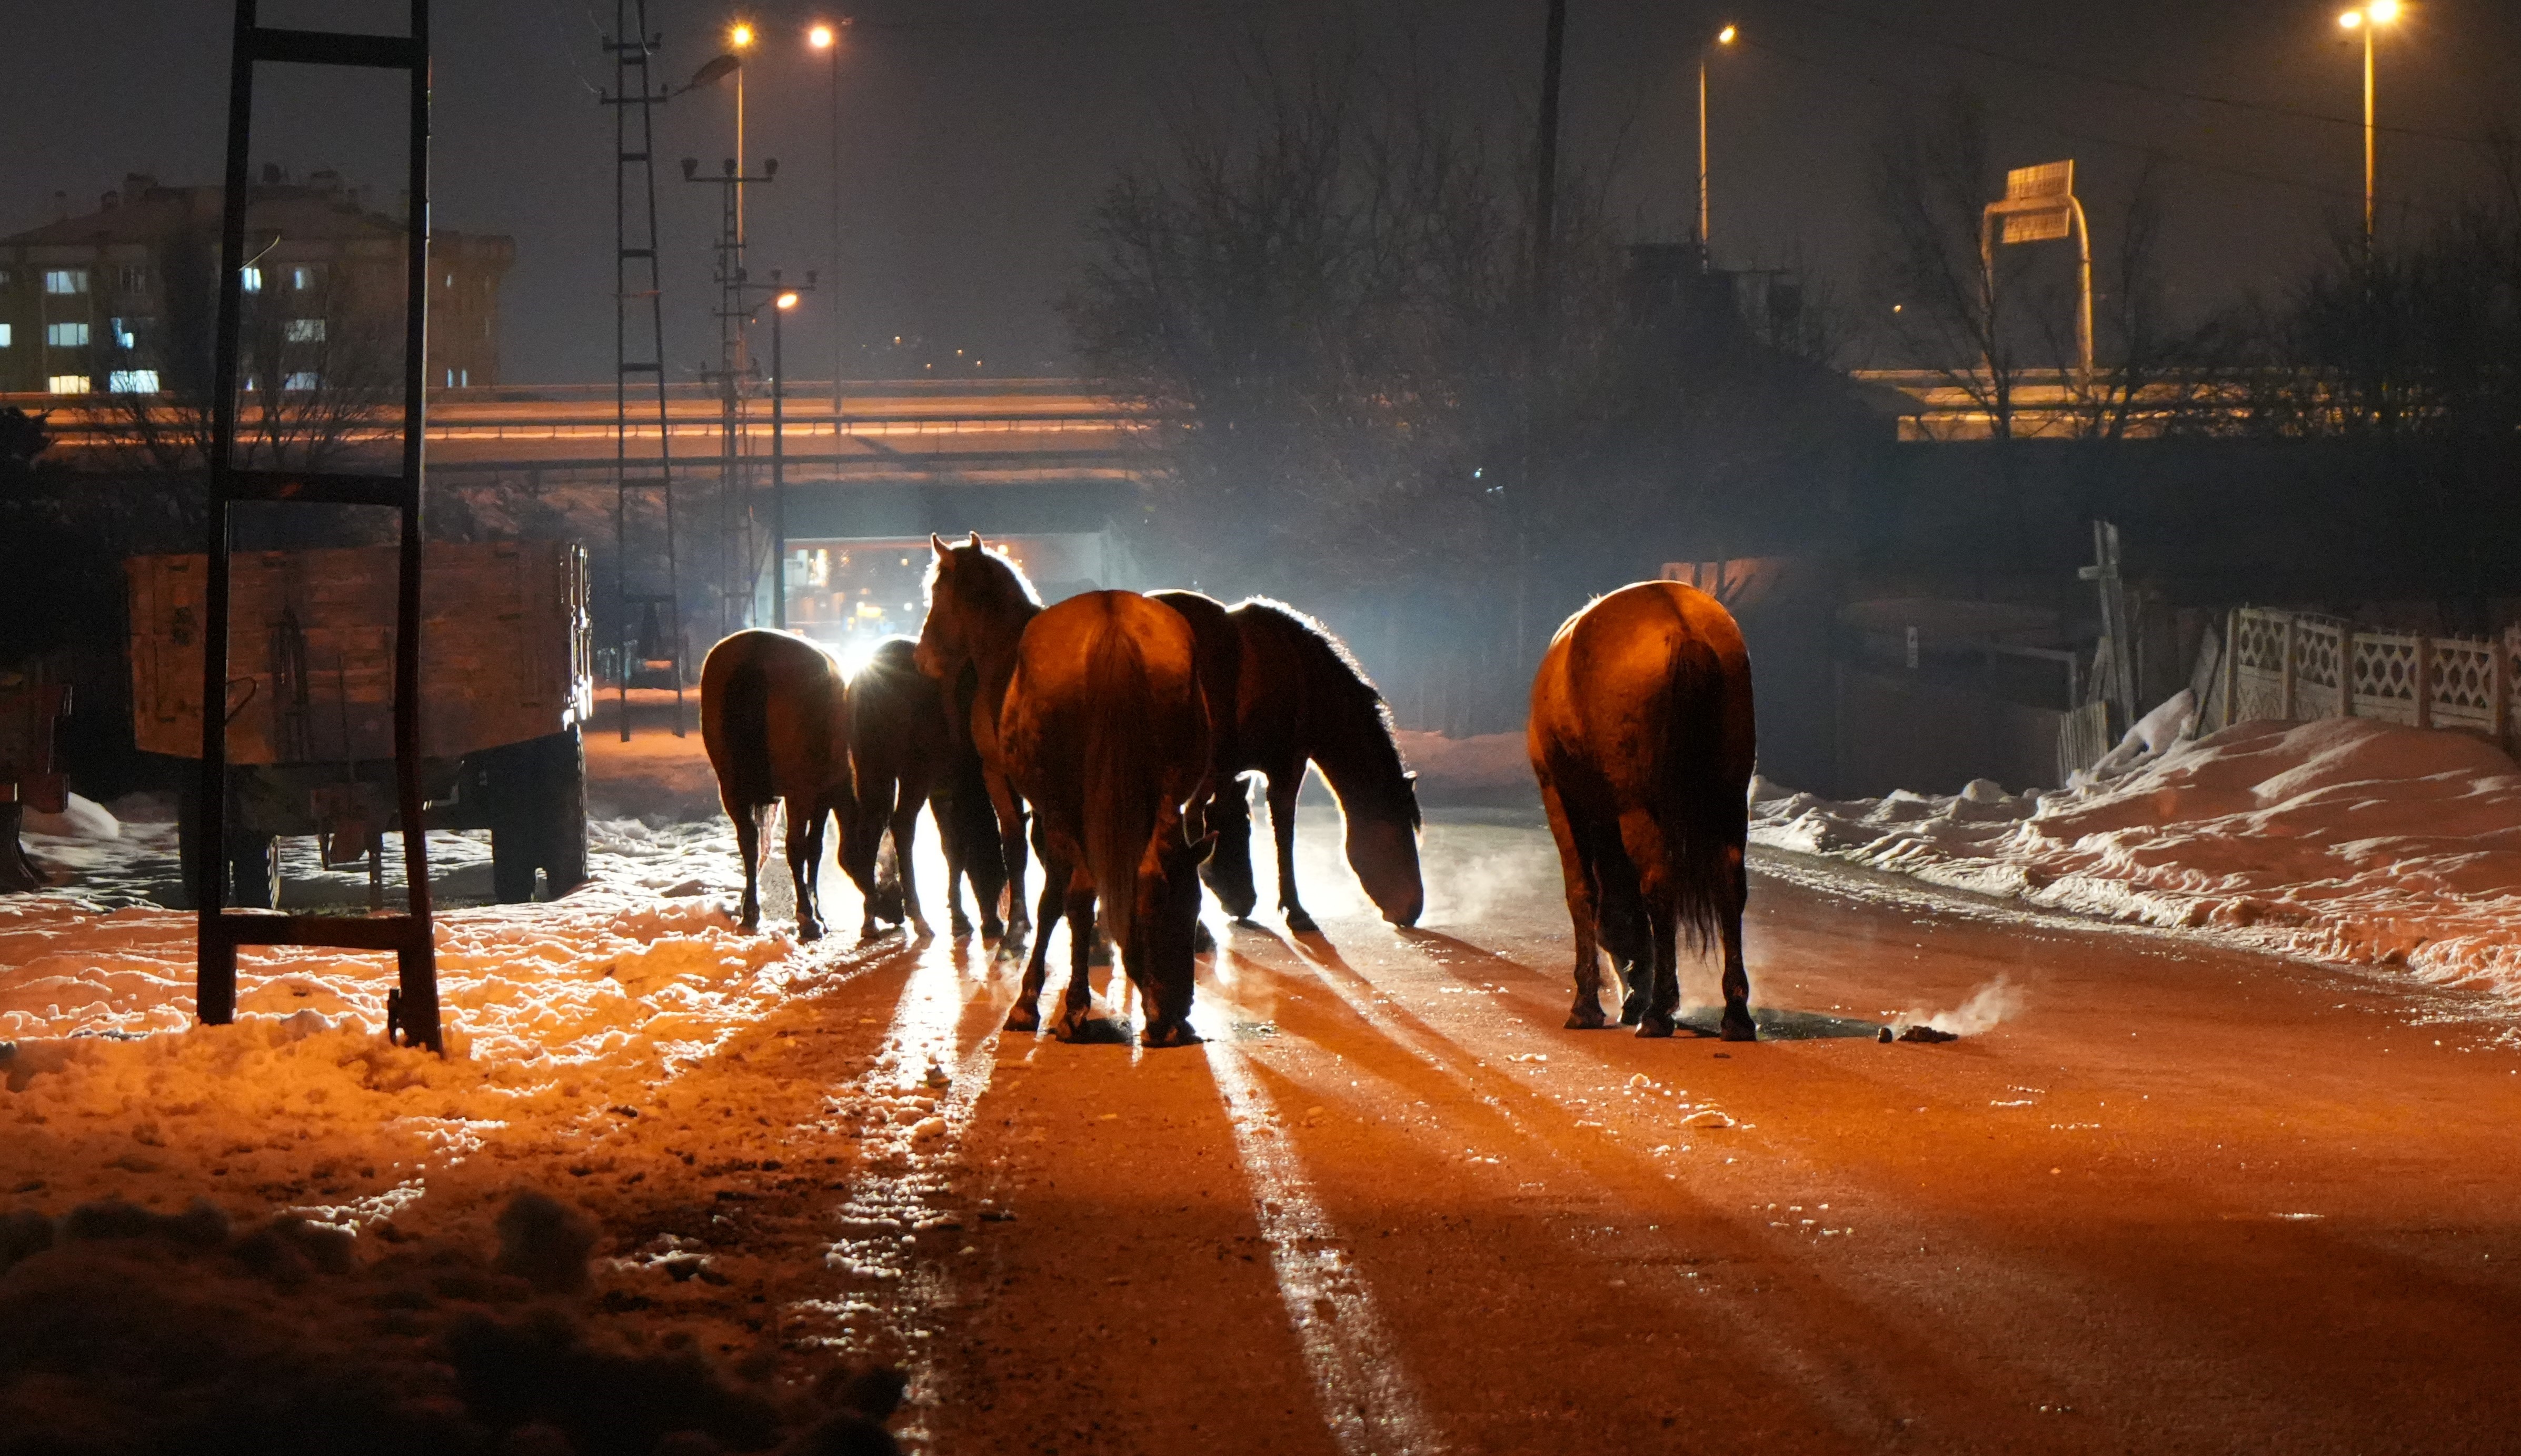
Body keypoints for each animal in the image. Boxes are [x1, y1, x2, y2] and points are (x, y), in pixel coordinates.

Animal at [701, 630, 867, 937]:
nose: (894, 911)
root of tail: (756, 652)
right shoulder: (819, 796)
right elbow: (814, 849)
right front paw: (815, 911)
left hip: (732, 788)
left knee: (750, 843)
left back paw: (751, 913)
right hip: (797, 793)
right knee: (794, 847)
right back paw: (807, 918)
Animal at [993, 589, 1210, 1043]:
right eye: (1191, 906)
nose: (1182, 1004)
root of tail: (1112, 619)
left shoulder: (1052, 817)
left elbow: (1054, 900)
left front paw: (1029, 1002)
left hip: (1061, 803)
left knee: (1079, 891)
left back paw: (1075, 1007)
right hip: (1168, 786)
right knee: (1148, 876)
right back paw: (1154, 1011)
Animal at [1154, 589, 1432, 927]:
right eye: (1398, 834)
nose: (1413, 911)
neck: (1302, 677)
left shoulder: (1225, 771)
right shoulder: (1285, 767)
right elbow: (1283, 832)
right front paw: (1294, 909)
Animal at [1522, 579, 1765, 1033]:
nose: (1631, 995)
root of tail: (1680, 624)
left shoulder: (1559, 798)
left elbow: (1582, 893)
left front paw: (1585, 1005)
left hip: (1639, 807)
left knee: (1658, 884)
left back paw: (1657, 1013)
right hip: (1728, 800)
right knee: (1730, 887)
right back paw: (1734, 1015)